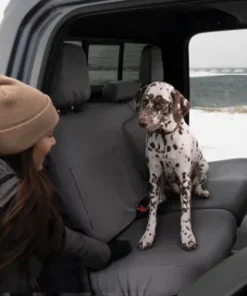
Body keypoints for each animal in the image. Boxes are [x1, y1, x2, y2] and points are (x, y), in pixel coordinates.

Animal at [134, 82, 209, 251]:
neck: (163, 139)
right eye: (144, 101)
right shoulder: (154, 177)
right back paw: (161, 197)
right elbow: (152, 214)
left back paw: (201, 191)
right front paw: (148, 236)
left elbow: (185, 214)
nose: (141, 122)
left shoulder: (184, 179)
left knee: (197, 185)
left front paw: (187, 236)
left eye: (160, 103)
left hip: (203, 165)